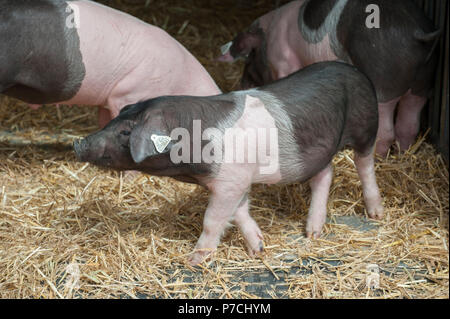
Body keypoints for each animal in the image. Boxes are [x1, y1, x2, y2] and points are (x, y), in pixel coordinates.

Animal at [74, 62, 384, 264]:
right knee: (325, 173)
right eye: (114, 121)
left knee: (365, 164)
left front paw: (194, 260)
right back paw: (312, 233)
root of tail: (356, 70)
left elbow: (213, 220)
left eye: (127, 132)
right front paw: (259, 248)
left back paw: (376, 214)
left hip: (366, 125)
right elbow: (239, 212)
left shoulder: (230, 180)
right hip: (315, 152)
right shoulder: (236, 180)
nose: (78, 143)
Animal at [220, 0, 442, 157]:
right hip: (423, 82)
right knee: (409, 125)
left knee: (386, 132)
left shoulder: (283, 61)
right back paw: (403, 155)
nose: (243, 83)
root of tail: (418, 33)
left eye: (250, 55)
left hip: (383, 83)